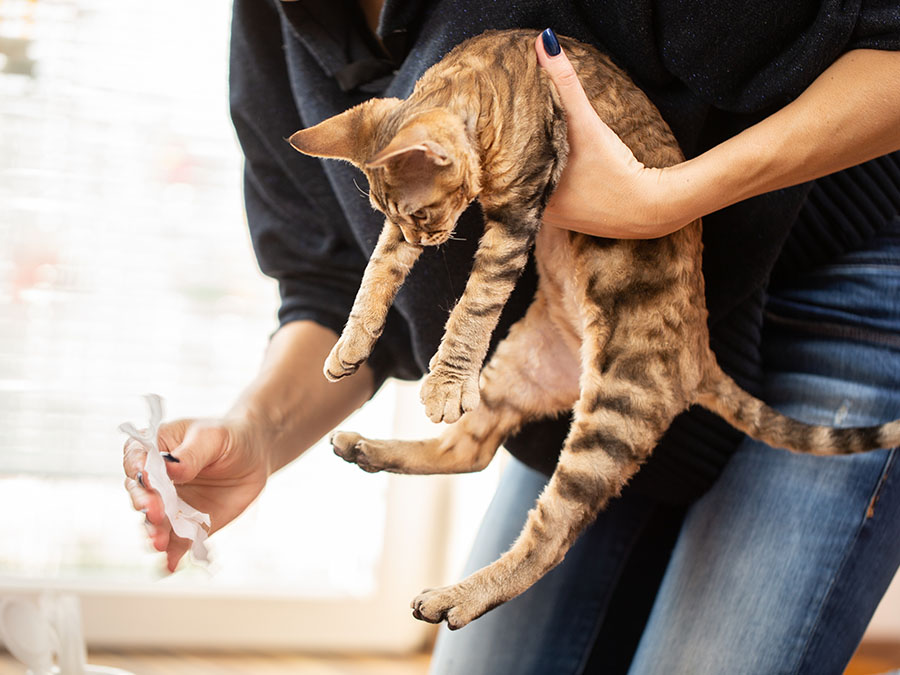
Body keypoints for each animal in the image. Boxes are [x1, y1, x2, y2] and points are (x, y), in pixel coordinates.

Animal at [290, 29, 900, 632]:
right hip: (519, 364)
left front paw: (444, 382)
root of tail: (700, 353)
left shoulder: (518, 215)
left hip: (613, 415)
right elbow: (375, 273)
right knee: (472, 449)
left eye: (422, 215)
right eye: (394, 217)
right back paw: (366, 450)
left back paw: (457, 596)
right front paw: (350, 346)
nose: (423, 241)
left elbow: (475, 301)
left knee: (551, 537)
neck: (483, 71)